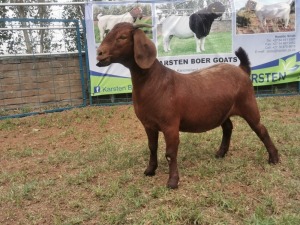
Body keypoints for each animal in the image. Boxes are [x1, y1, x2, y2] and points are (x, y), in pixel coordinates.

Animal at [96, 22, 278, 188]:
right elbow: (152, 147)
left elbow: (170, 153)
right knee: (228, 127)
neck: (155, 81)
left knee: (261, 129)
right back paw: (220, 153)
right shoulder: (148, 124)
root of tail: (242, 69)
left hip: (248, 104)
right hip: (222, 110)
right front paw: (150, 170)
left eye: (122, 37)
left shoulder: (170, 124)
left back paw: (274, 158)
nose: (99, 53)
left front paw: (172, 181)